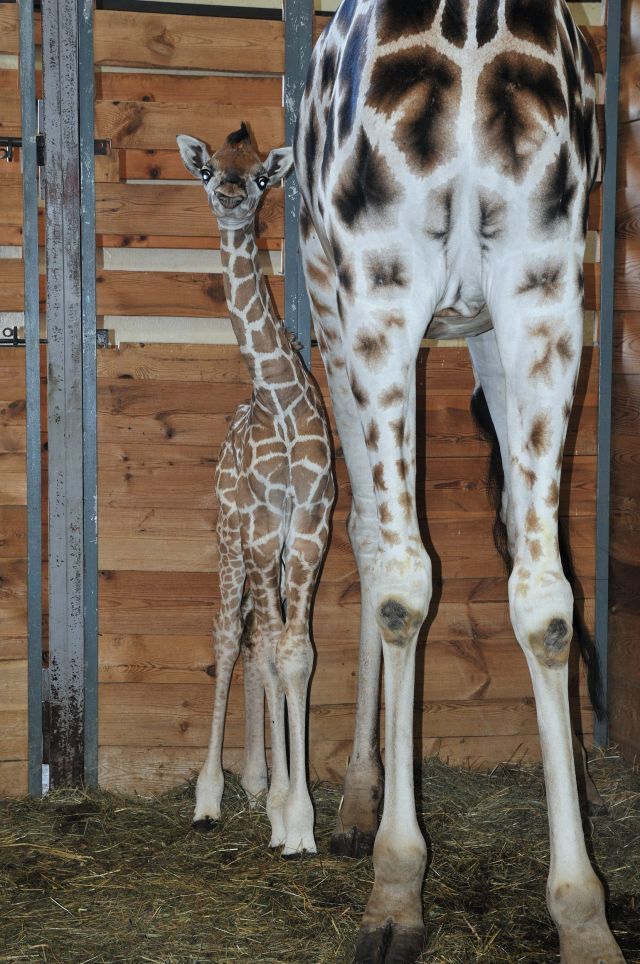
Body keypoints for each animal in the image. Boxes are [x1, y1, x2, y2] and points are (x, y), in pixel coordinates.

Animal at [296, 1, 624, 964]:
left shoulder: (526, 289)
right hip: (370, 307)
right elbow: (433, 580)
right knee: (401, 546)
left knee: (459, 550)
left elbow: (530, 597)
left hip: (440, 315)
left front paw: (579, 908)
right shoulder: (406, 293)